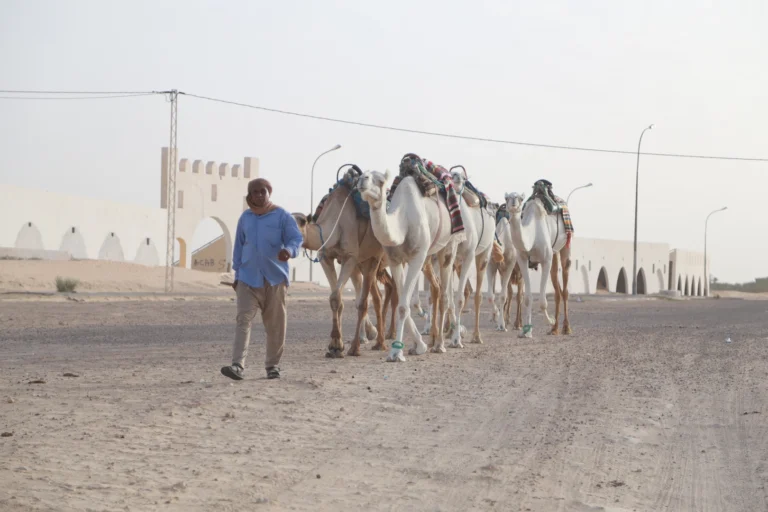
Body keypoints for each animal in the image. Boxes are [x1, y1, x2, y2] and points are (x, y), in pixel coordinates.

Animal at [358, 154, 460, 362]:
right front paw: (418, 345)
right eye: (364, 175)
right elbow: (402, 303)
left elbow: (404, 306)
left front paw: (396, 352)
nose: (362, 179)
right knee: (437, 287)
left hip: (448, 246)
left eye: (381, 181)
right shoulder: (395, 261)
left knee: (445, 294)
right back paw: (432, 341)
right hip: (430, 256)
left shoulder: (416, 258)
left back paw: (441, 344)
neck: (402, 224)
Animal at [508, 190, 572, 338]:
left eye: (520, 198)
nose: (513, 203)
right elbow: (527, 298)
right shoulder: (523, 260)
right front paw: (527, 331)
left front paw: (550, 320)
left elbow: (543, 302)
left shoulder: (545, 260)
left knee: (565, 285)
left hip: (566, 244)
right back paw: (554, 329)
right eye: (506, 197)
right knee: (557, 288)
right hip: (553, 254)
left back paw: (566, 328)